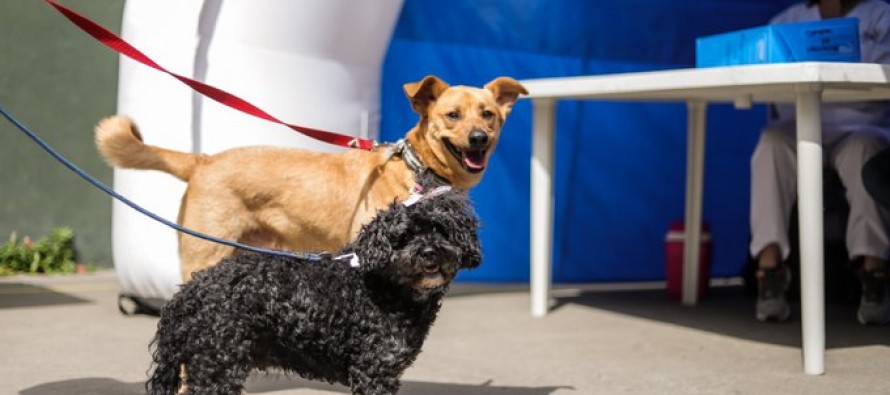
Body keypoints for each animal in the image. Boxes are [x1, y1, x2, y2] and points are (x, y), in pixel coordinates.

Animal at [97, 76, 528, 282]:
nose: (479, 138)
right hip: (205, 255)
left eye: (488, 114)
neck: (417, 169)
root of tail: (203, 161)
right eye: (453, 115)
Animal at [146, 186, 478, 395]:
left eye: (440, 230)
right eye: (404, 236)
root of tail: (187, 295)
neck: (387, 289)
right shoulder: (374, 371)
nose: (429, 253)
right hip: (216, 367)